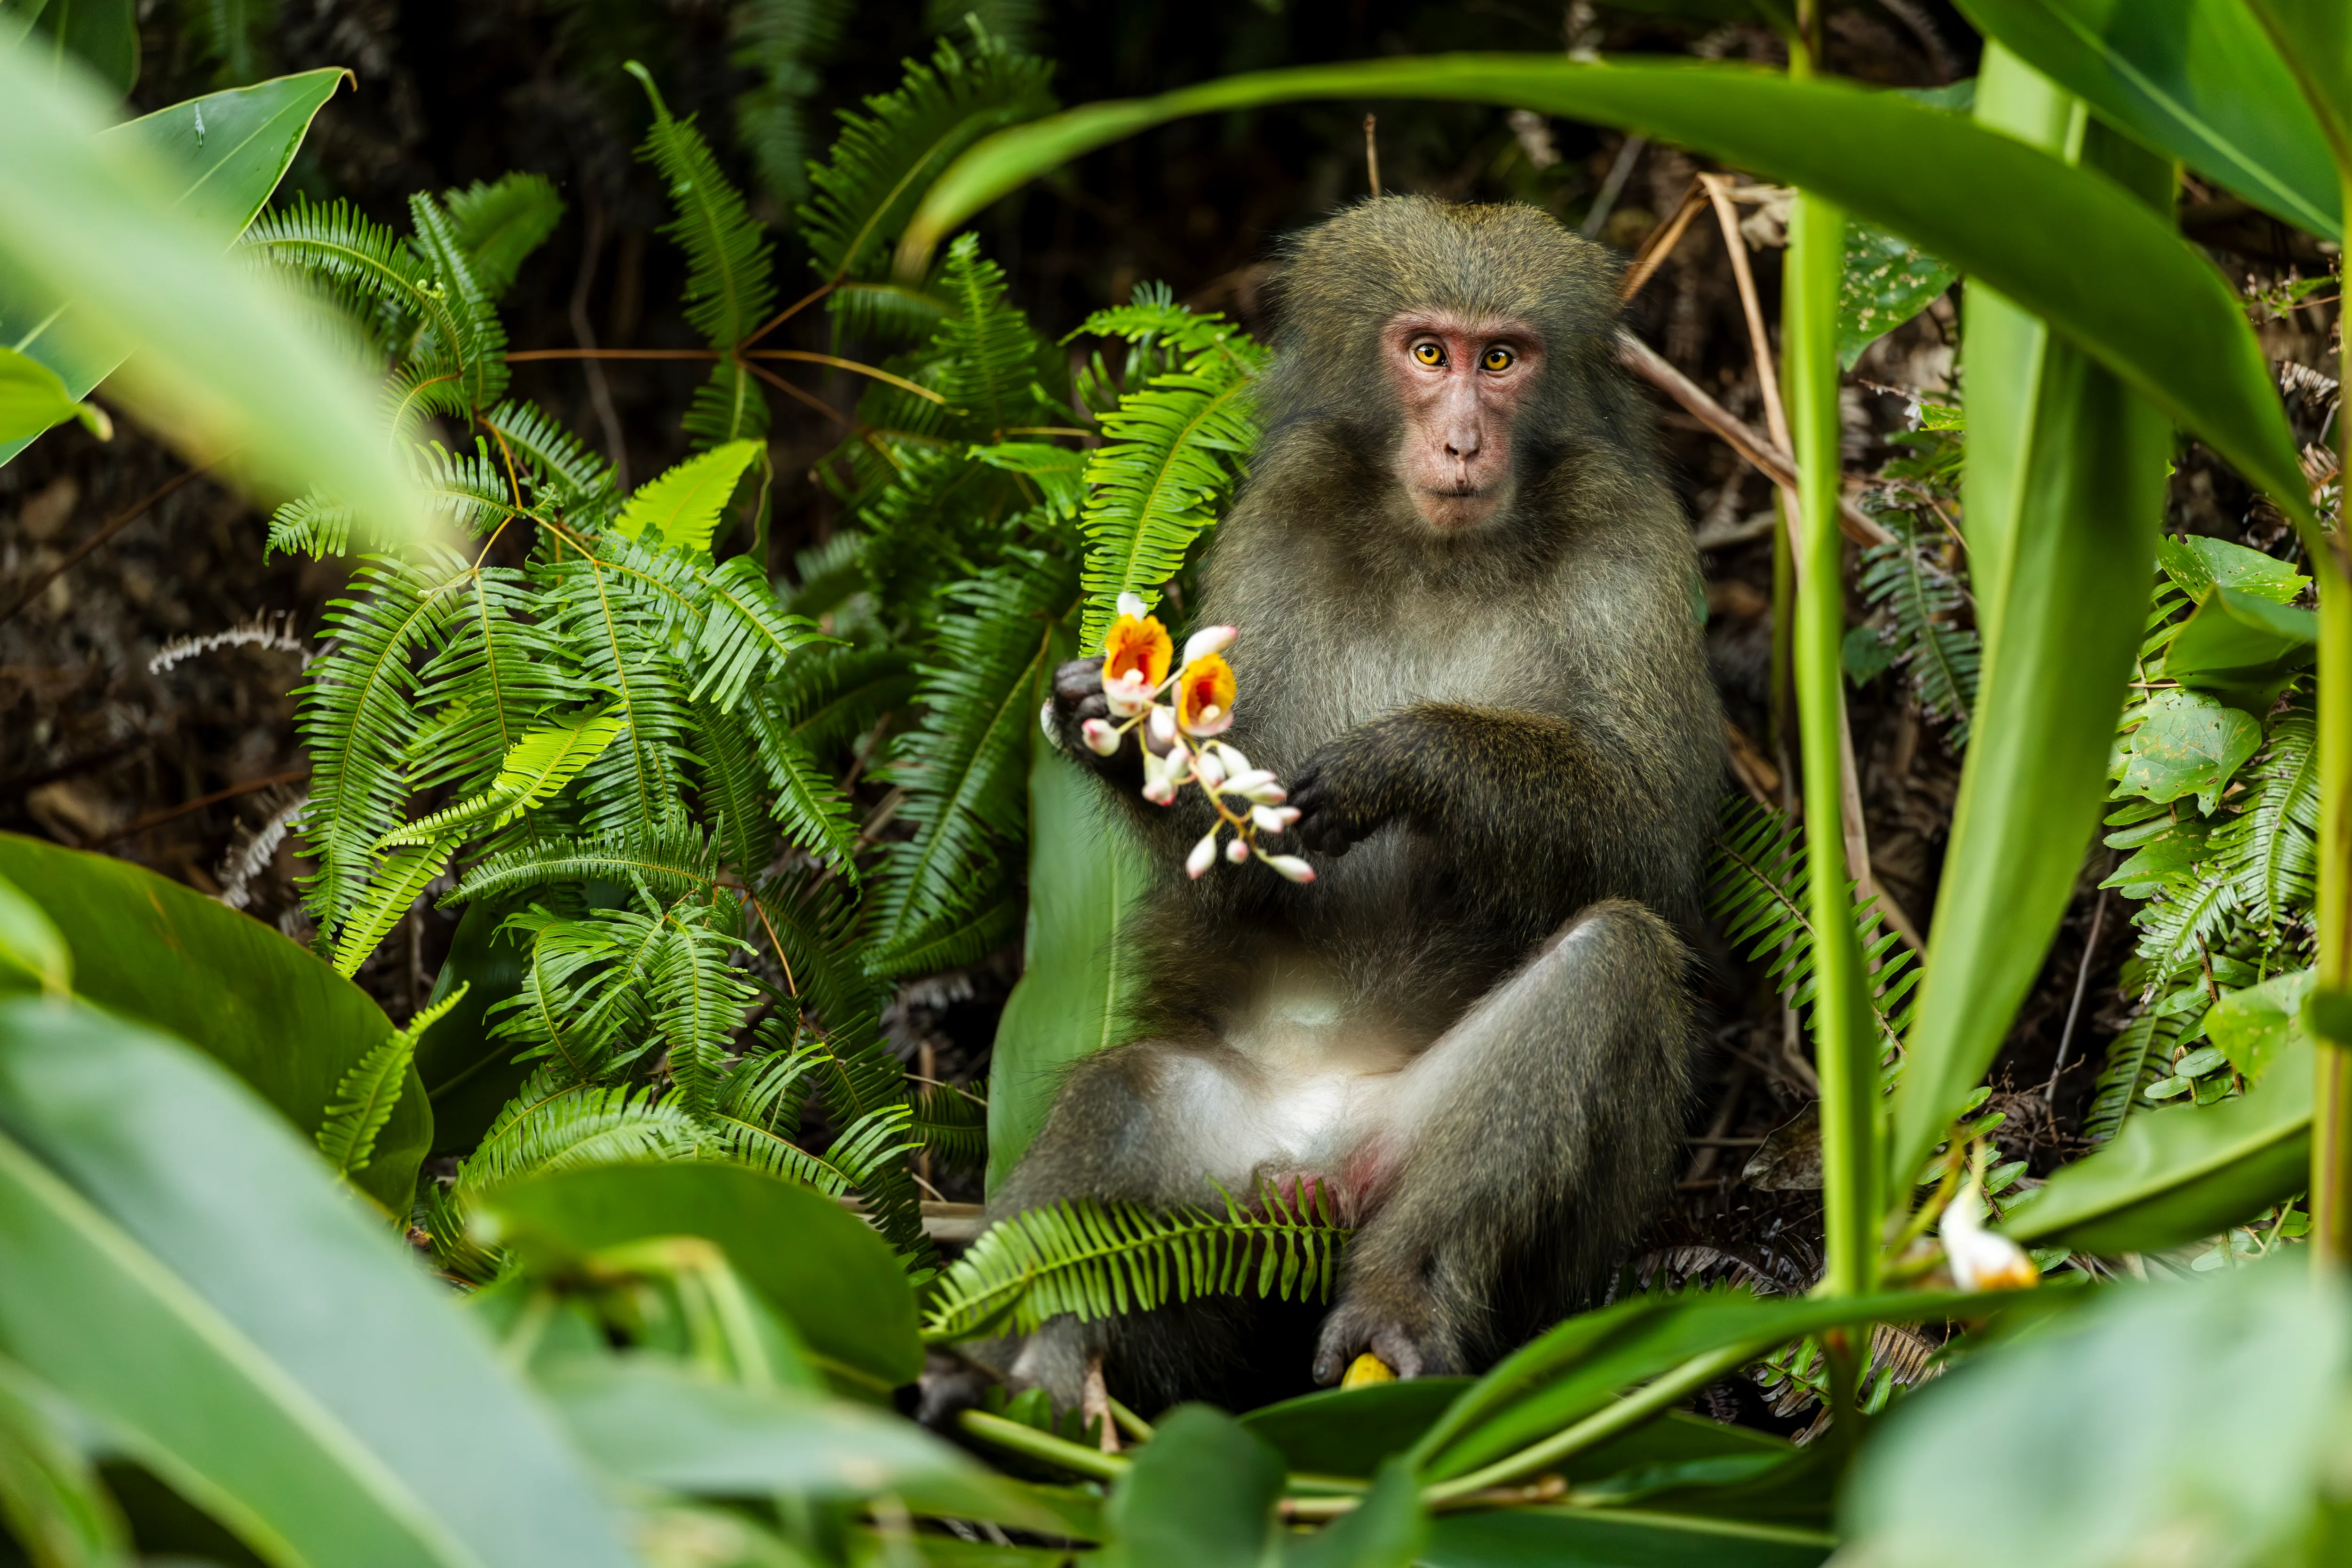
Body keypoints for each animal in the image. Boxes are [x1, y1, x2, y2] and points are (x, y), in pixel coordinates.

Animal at [941, 195, 1723, 1418]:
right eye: (1429, 354)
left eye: (1503, 360)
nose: (1462, 443)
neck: (1440, 550)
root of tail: (1311, 1163)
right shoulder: (1275, 529)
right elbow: (1246, 886)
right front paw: (1121, 734)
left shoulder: (1633, 544)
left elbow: (1652, 845)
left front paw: (1411, 760)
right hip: (1216, 1206)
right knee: (1126, 1094)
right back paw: (1027, 1369)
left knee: (1611, 962)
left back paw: (1397, 1303)